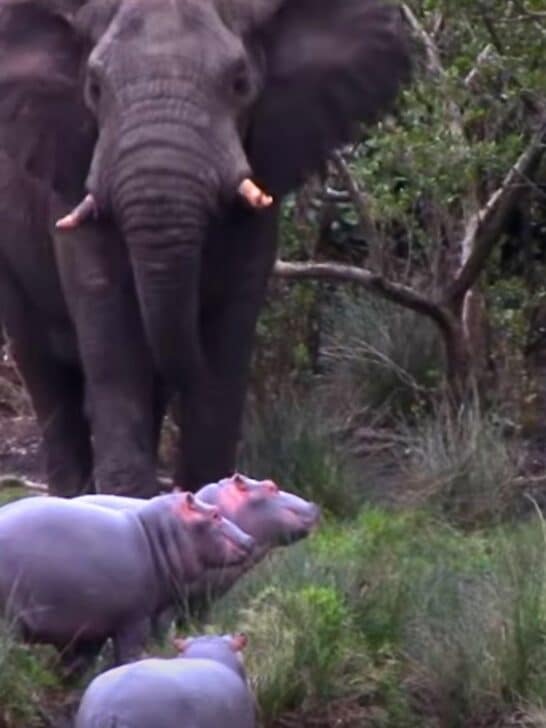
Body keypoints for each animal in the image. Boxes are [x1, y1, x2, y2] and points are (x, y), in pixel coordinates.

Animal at [0, 492, 254, 670]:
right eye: (215, 514)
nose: (250, 539)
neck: (156, 536)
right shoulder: (134, 619)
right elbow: (128, 652)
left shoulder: (92, 625)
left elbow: (82, 659)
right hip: (10, 622)